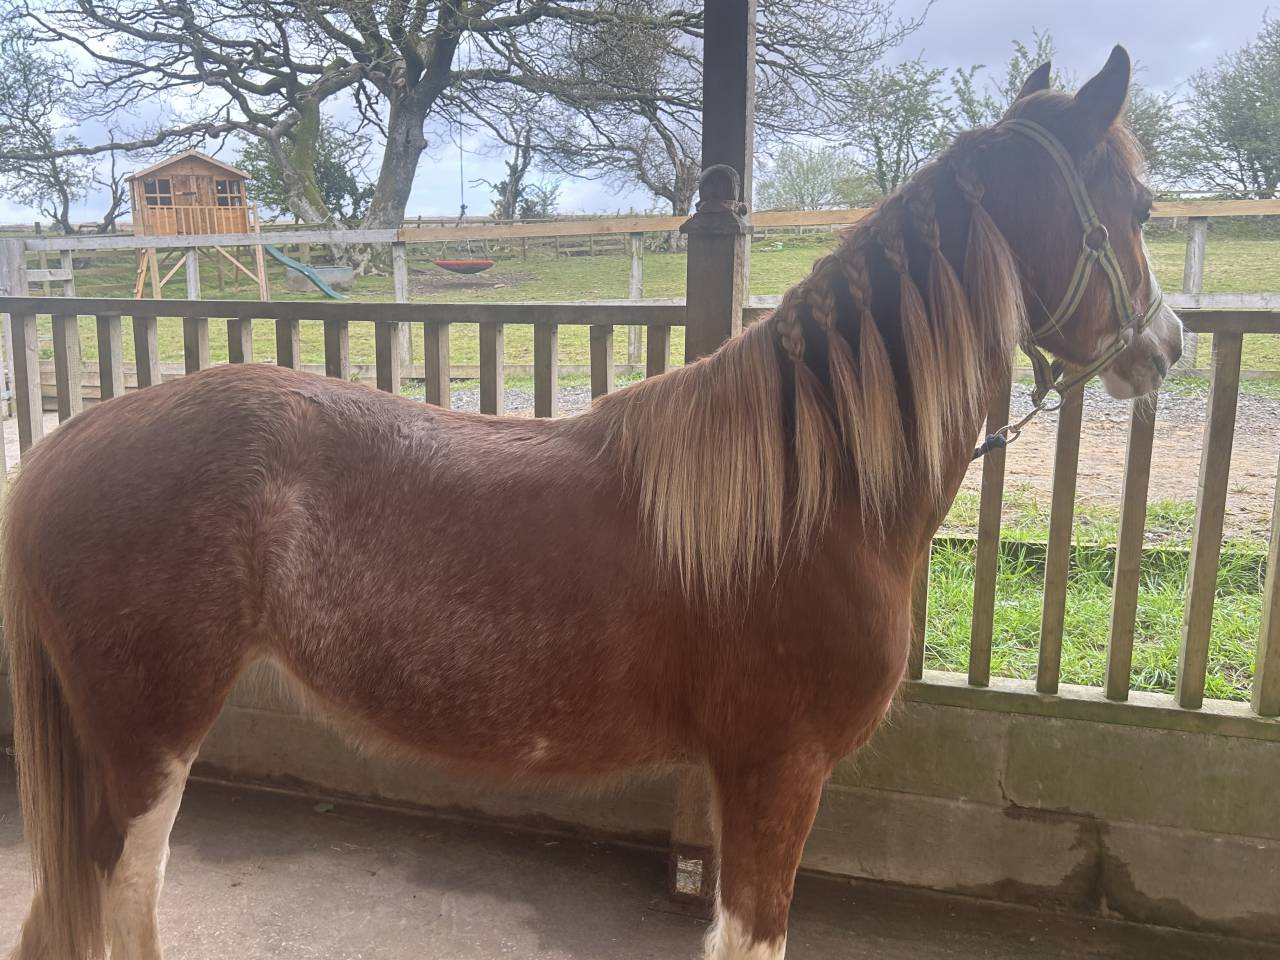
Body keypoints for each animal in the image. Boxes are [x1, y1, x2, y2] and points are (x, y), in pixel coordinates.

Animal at [4, 46, 1181, 960]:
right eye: (1134, 208)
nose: (1164, 347)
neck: (812, 493)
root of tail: (63, 449)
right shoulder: (778, 772)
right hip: (147, 744)